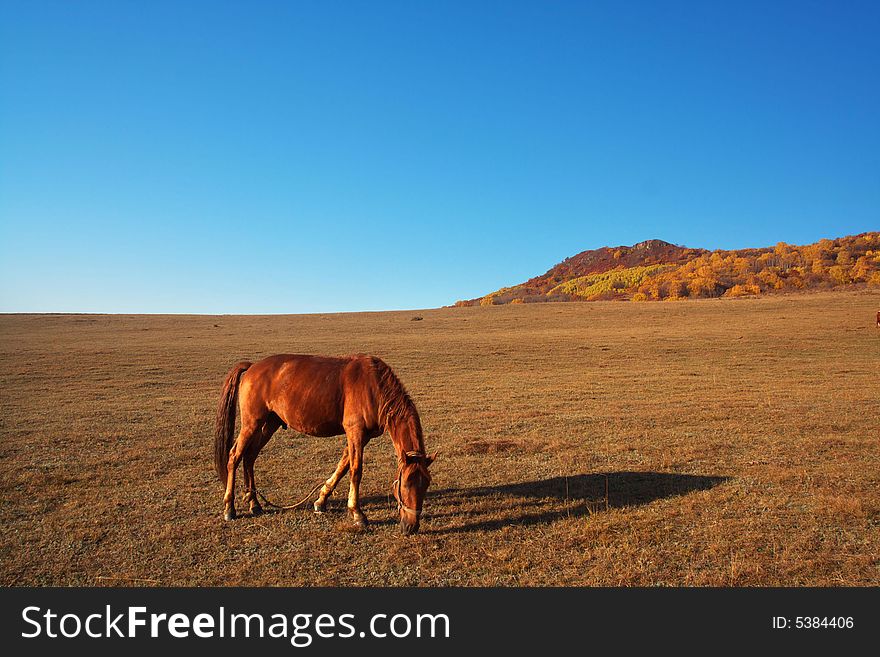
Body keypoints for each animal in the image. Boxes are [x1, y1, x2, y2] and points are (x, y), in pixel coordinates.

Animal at [213, 354, 434, 532]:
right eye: (406, 484)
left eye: (426, 484)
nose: (411, 526)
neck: (374, 387)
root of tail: (252, 367)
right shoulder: (355, 432)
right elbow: (355, 470)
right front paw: (357, 514)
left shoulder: (361, 436)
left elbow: (343, 466)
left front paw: (321, 500)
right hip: (252, 423)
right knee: (235, 456)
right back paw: (229, 508)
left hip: (270, 423)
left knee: (250, 456)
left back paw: (254, 503)